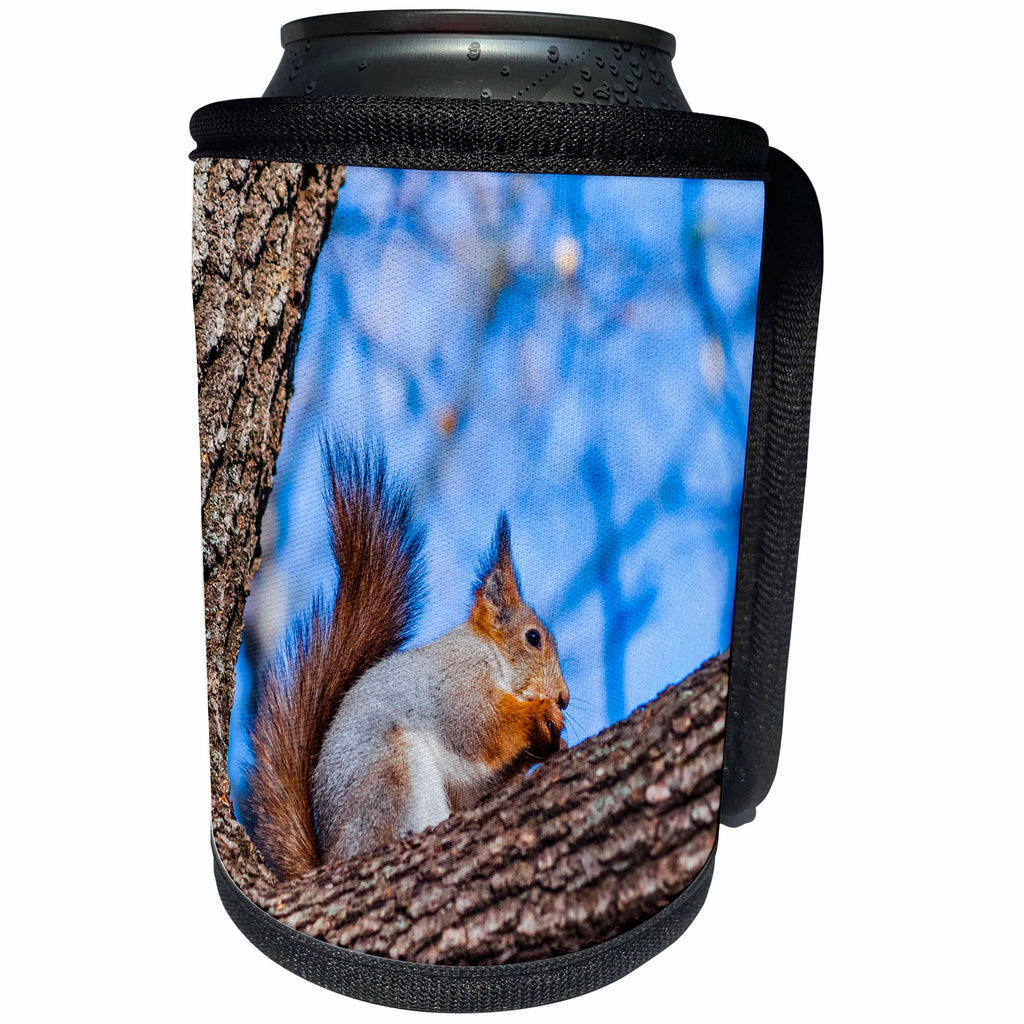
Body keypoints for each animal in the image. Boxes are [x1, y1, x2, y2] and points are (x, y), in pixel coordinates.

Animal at [245, 438, 569, 881]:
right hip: (392, 775)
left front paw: (551, 743)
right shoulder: (457, 680)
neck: (489, 654)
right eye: (533, 638)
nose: (565, 697)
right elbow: (481, 726)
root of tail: (332, 858)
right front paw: (540, 714)